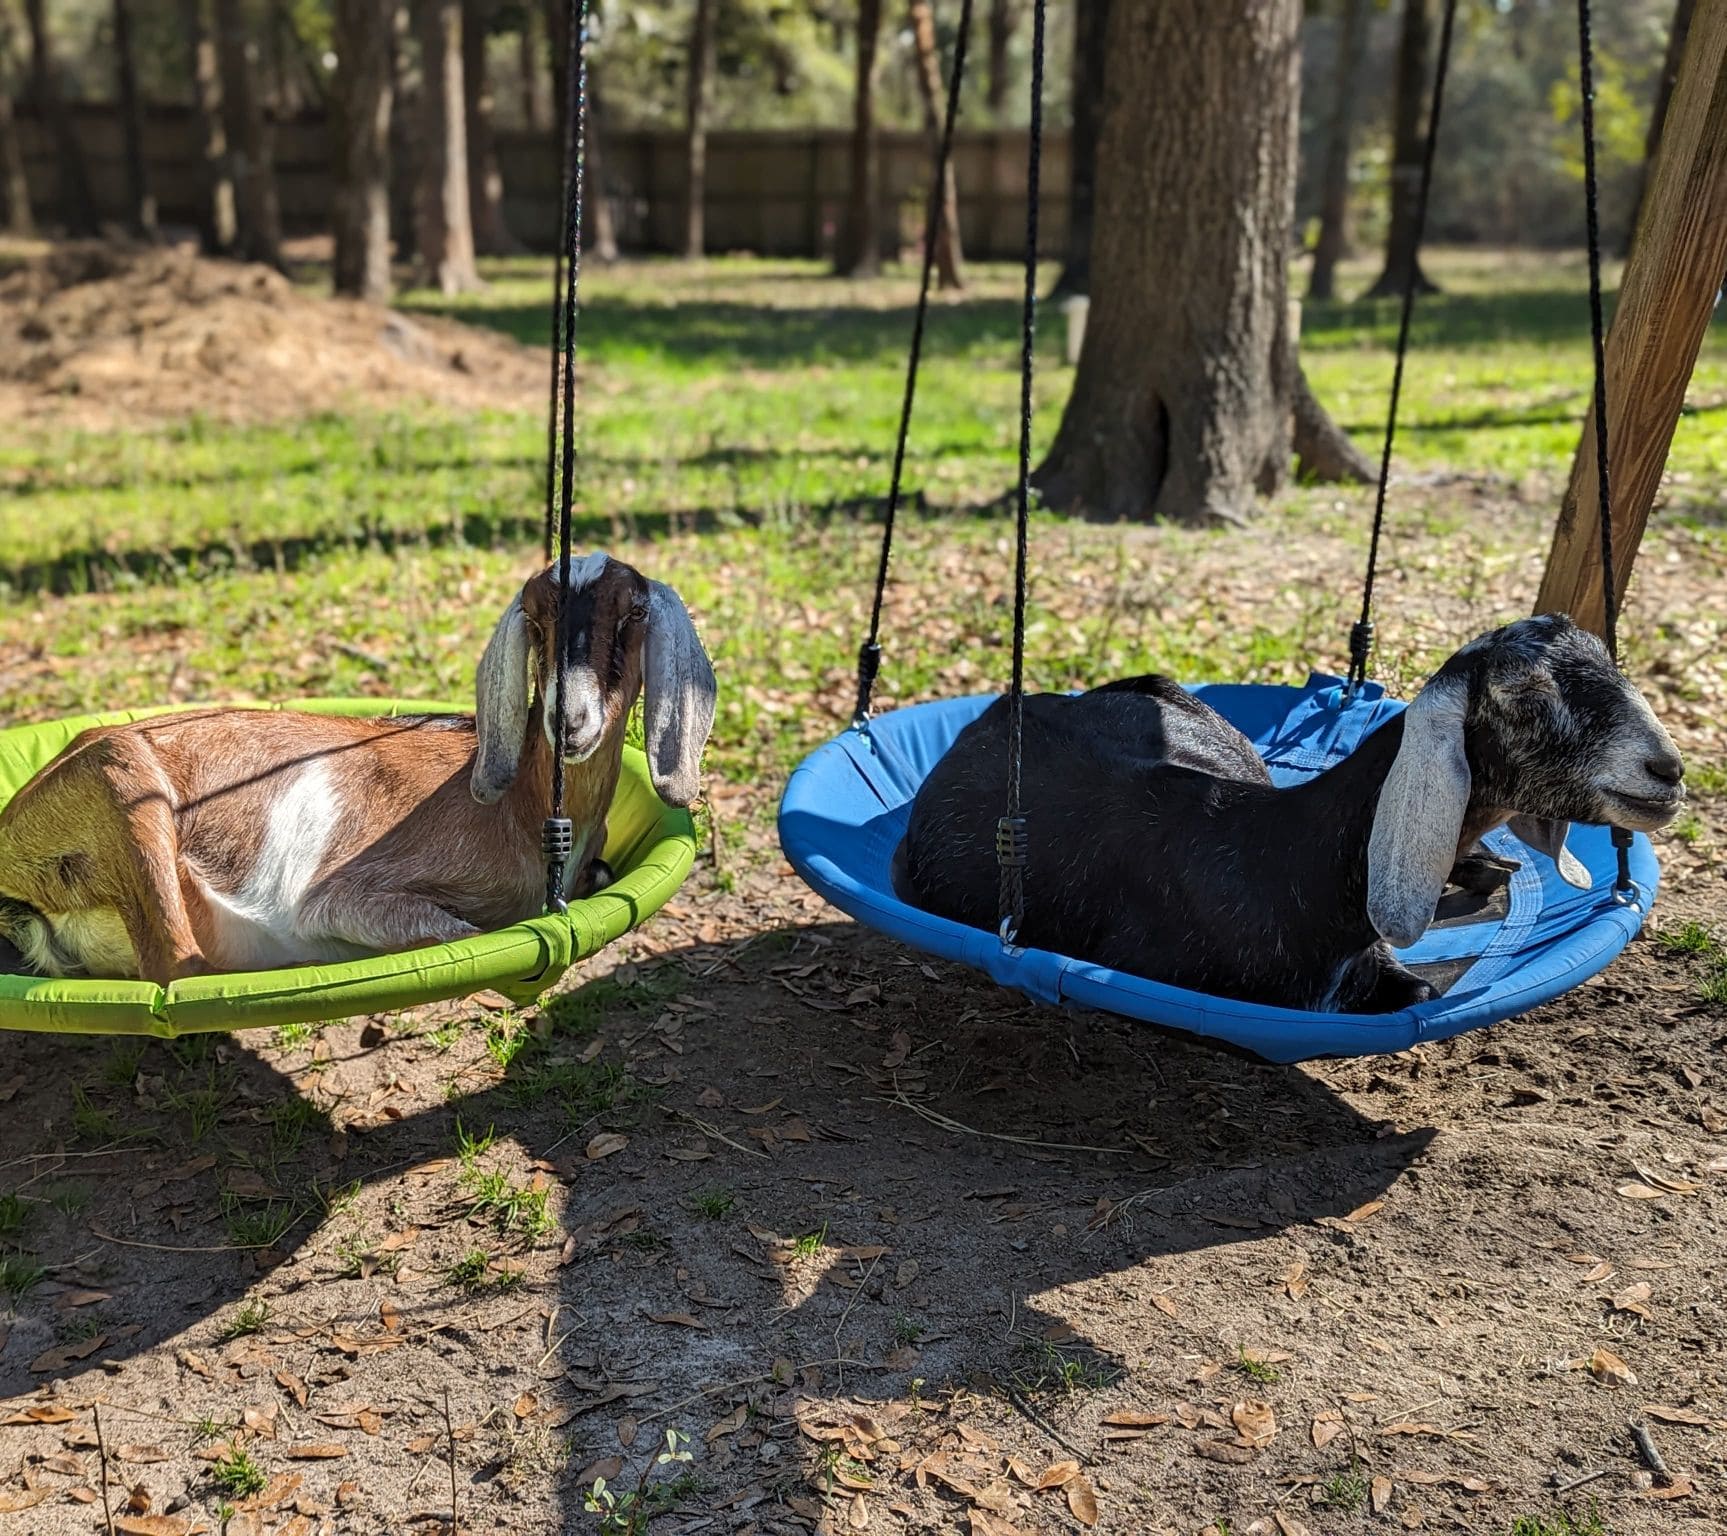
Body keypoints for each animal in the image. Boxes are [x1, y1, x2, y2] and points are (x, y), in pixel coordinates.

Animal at [0, 554, 716, 984]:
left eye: (633, 611)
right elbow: (453, 928)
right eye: (537, 619)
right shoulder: (341, 897)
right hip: (125, 780)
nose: (569, 720)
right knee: (182, 965)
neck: (527, 807)